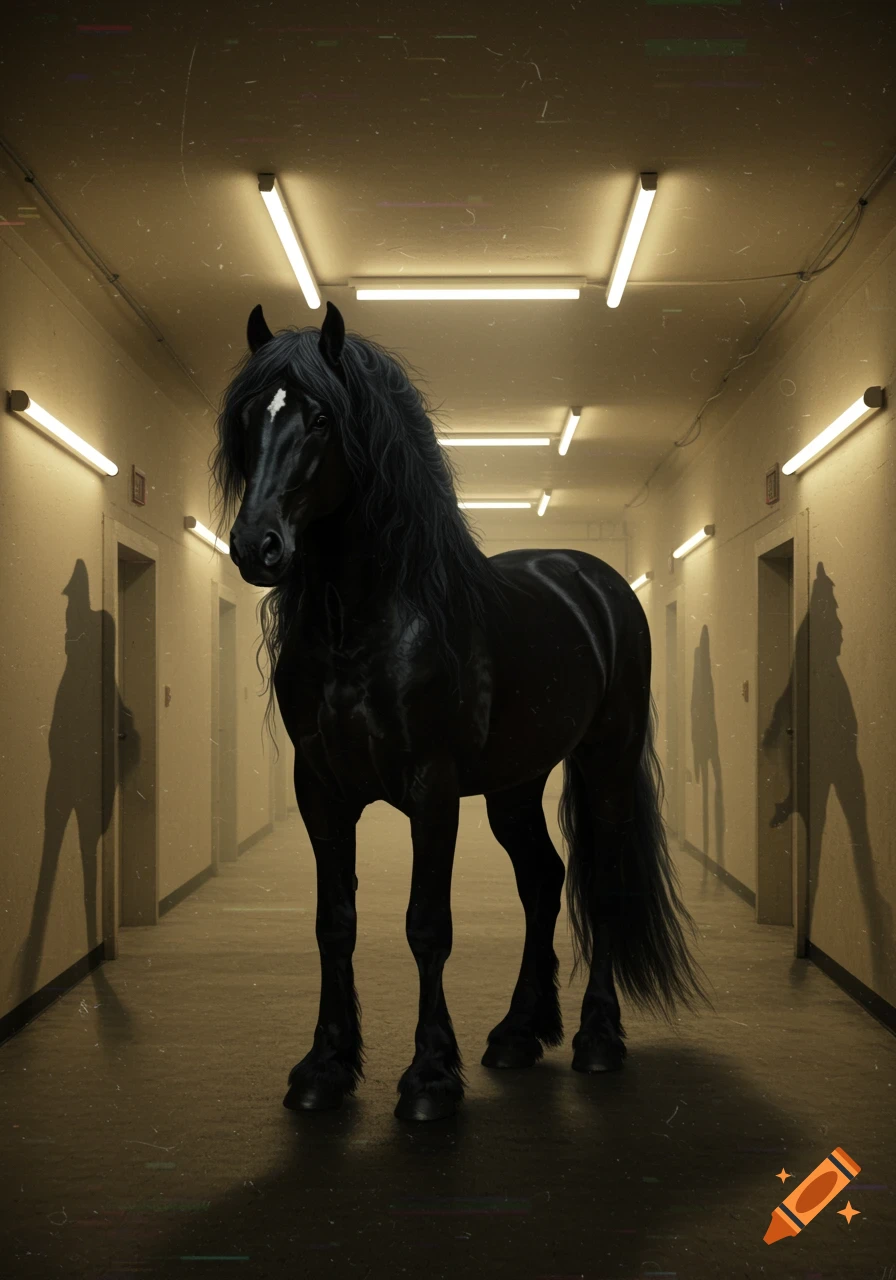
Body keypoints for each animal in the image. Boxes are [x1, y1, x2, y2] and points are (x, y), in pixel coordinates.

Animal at [210, 300, 710, 1123]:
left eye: (321, 418)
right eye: (248, 416)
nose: (258, 548)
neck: (367, 625)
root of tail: (593, 578)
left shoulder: (432, 789)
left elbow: (427, 926)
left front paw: (429, 1079)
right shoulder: (320, 790)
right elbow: (334, 923)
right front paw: (324, 1067)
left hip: (605, 762)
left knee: (599, 884)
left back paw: (598, 1040)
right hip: (514, 784)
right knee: (542, 879)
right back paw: (517, 1033)